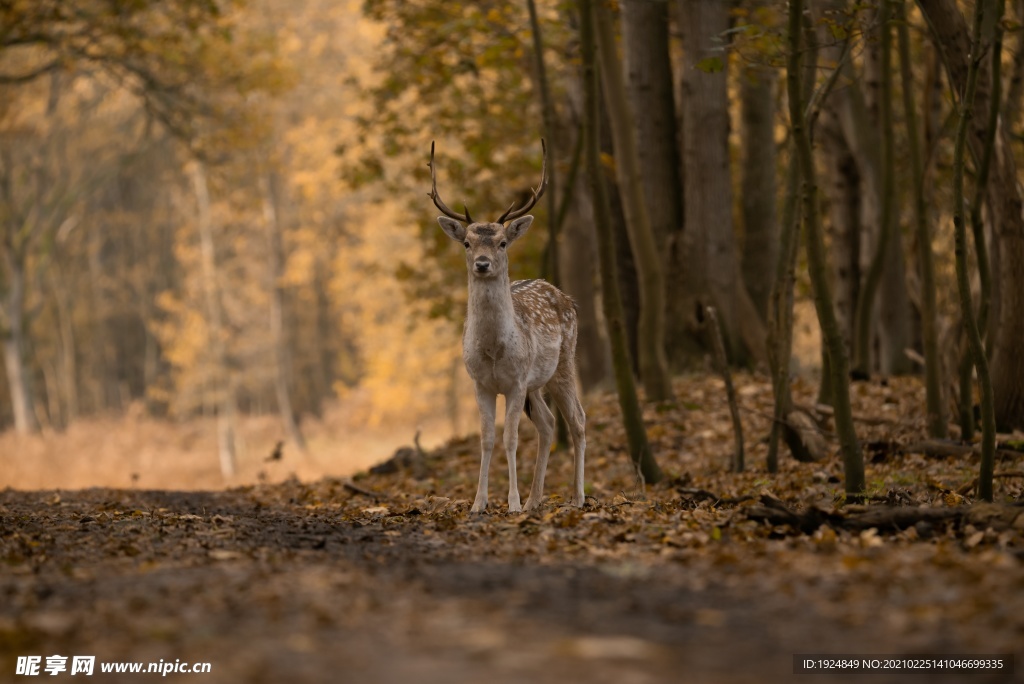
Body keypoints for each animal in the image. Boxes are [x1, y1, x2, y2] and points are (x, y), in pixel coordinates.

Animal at [425, 140, 585, 511]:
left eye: (502, 242)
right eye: (467, 243)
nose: (483, 264)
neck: (494, 350)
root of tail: (564, 295)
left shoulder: (515, 382)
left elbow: (510, 438)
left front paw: (510, 502)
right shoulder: (480, 383)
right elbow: (486, 439)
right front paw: (478, 503)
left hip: (564, 363)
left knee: (578, 420)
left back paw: (577, 497)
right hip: (536, 383)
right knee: (548, 423)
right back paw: (534, 501)